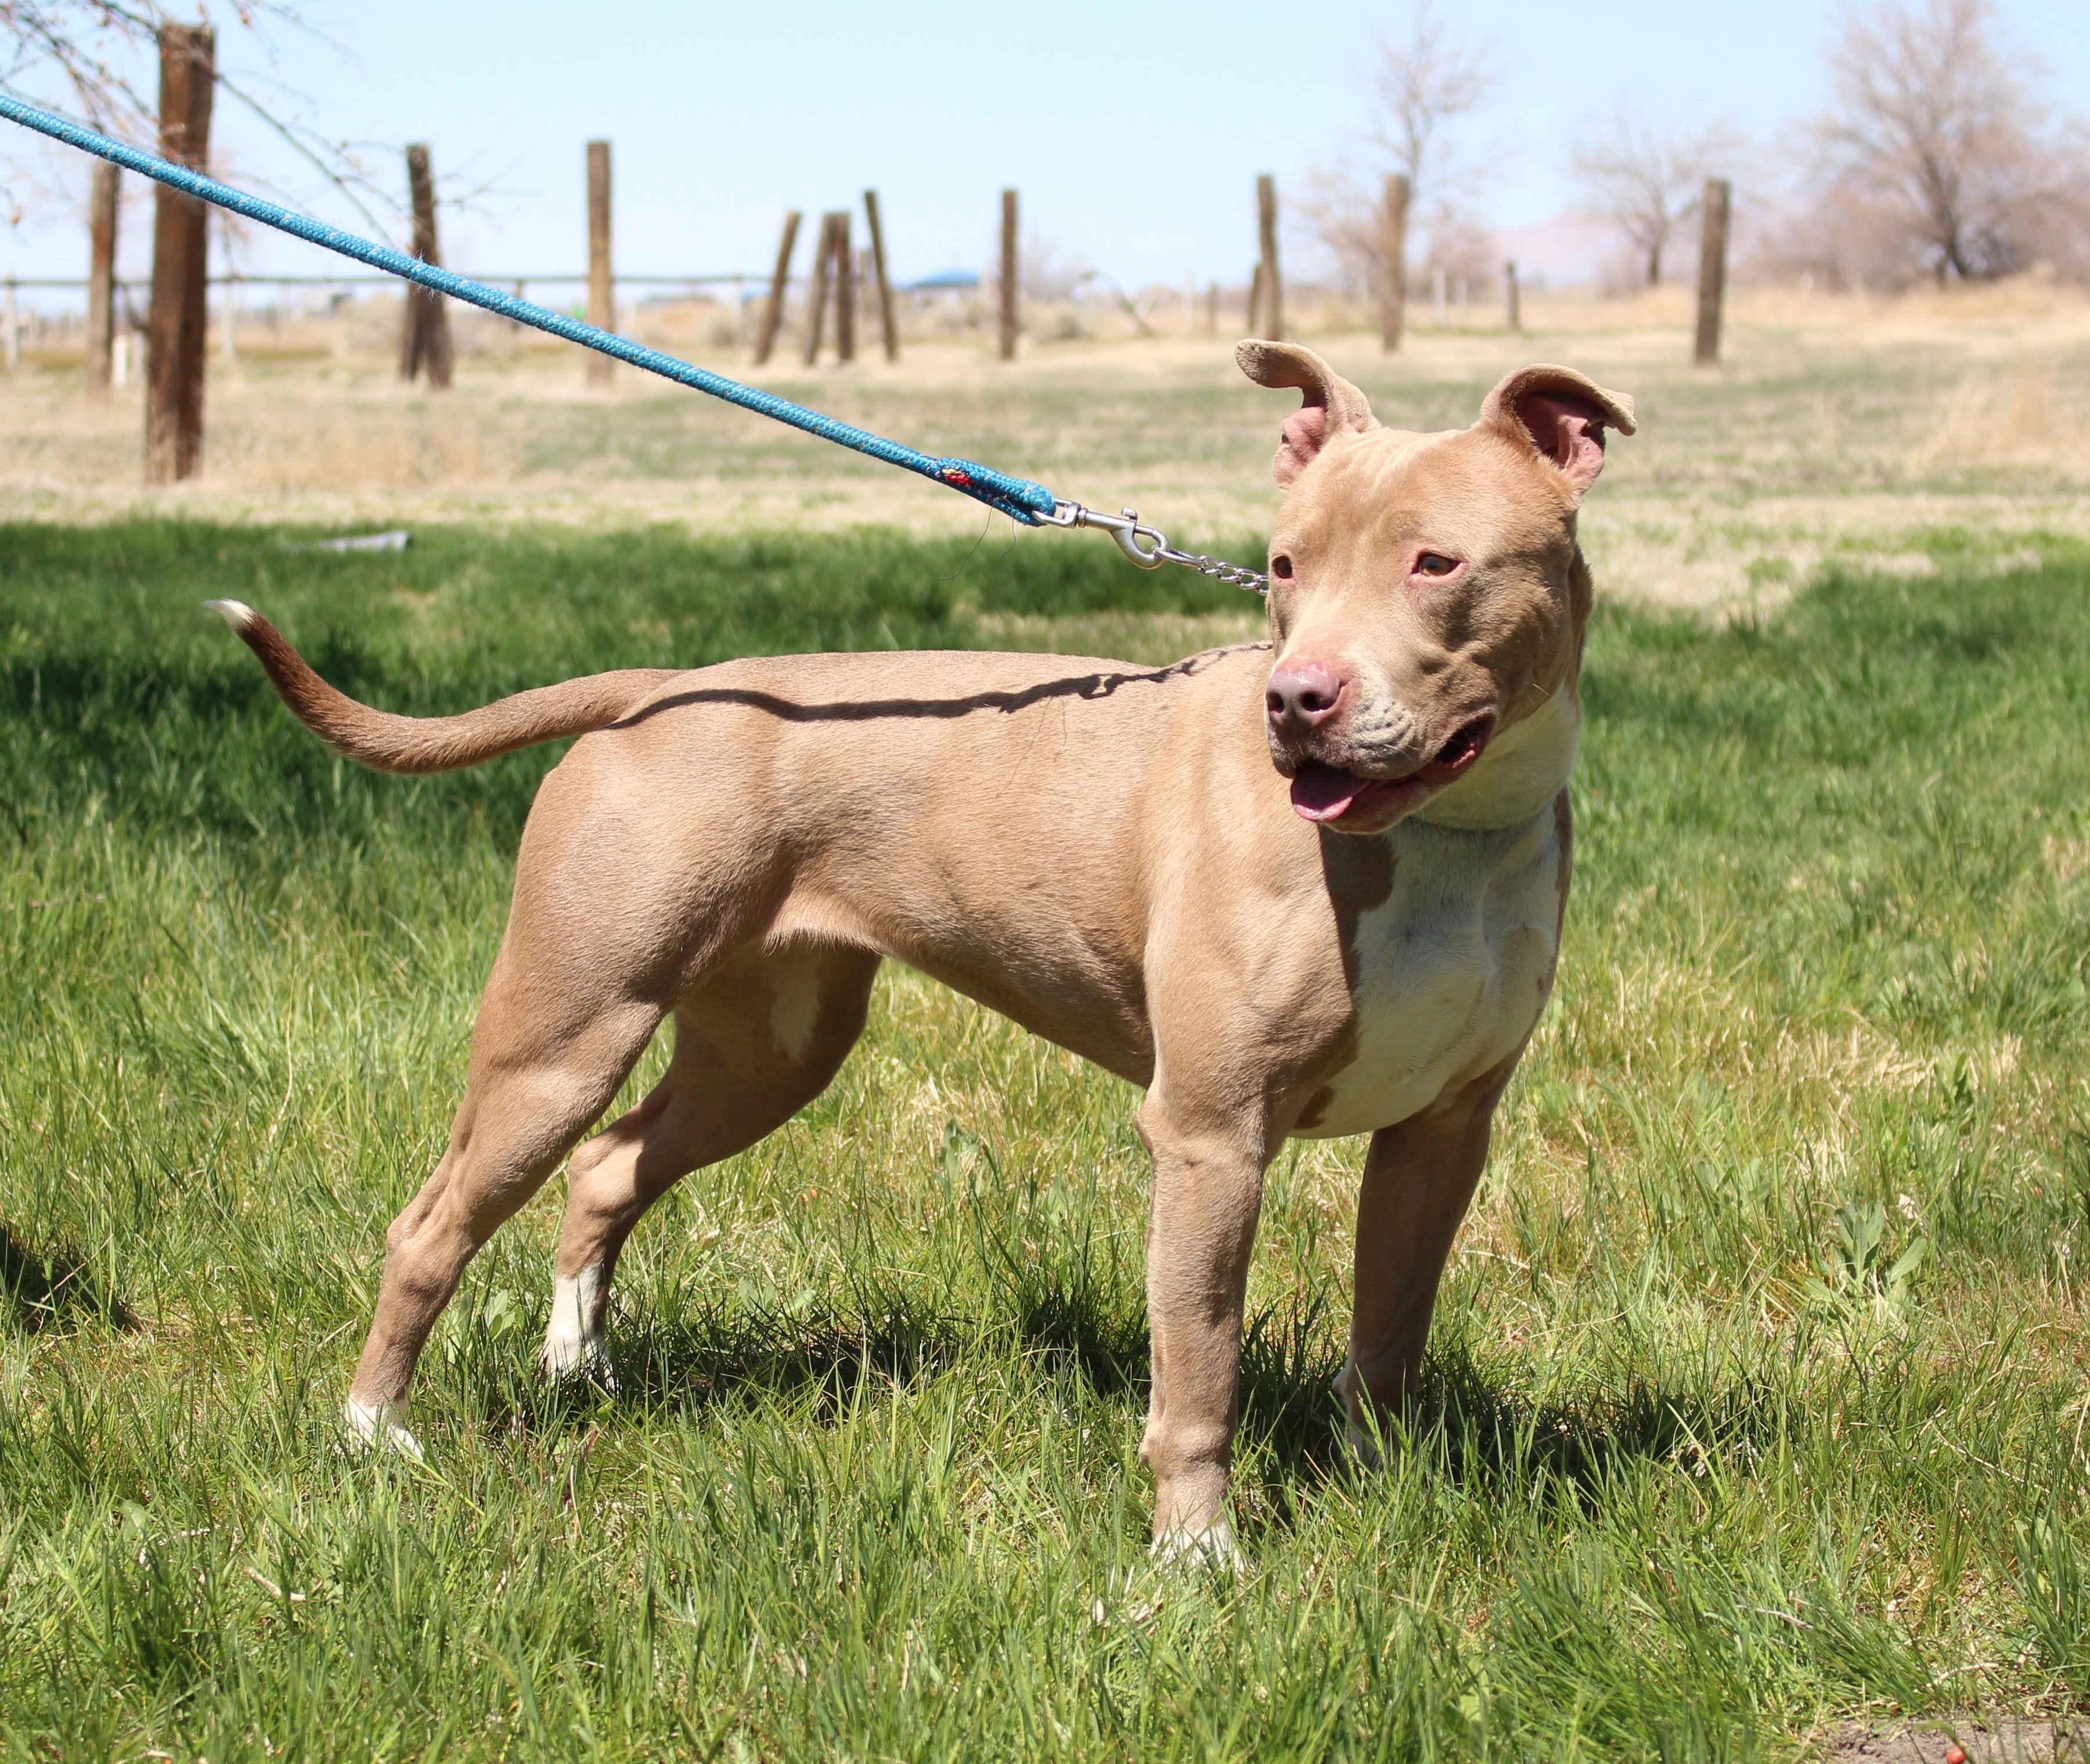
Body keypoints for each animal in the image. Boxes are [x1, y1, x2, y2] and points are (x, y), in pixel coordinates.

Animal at [220, 344, 1638, 1555]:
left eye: (1436, 561)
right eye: (1285, 566)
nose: (1298, 701)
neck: (1446, 834)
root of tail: (656, 687)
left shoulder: (1442, 1133)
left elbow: (1391, 1331)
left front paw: (1383, 1488)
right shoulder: (1211, 1134)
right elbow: (1200, 1368)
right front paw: (1196, 1559)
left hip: (771, 1049)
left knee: (612, 1165)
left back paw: (582, 1366)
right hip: (563, 1035)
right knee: (432, 1225)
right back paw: (372, 1433)